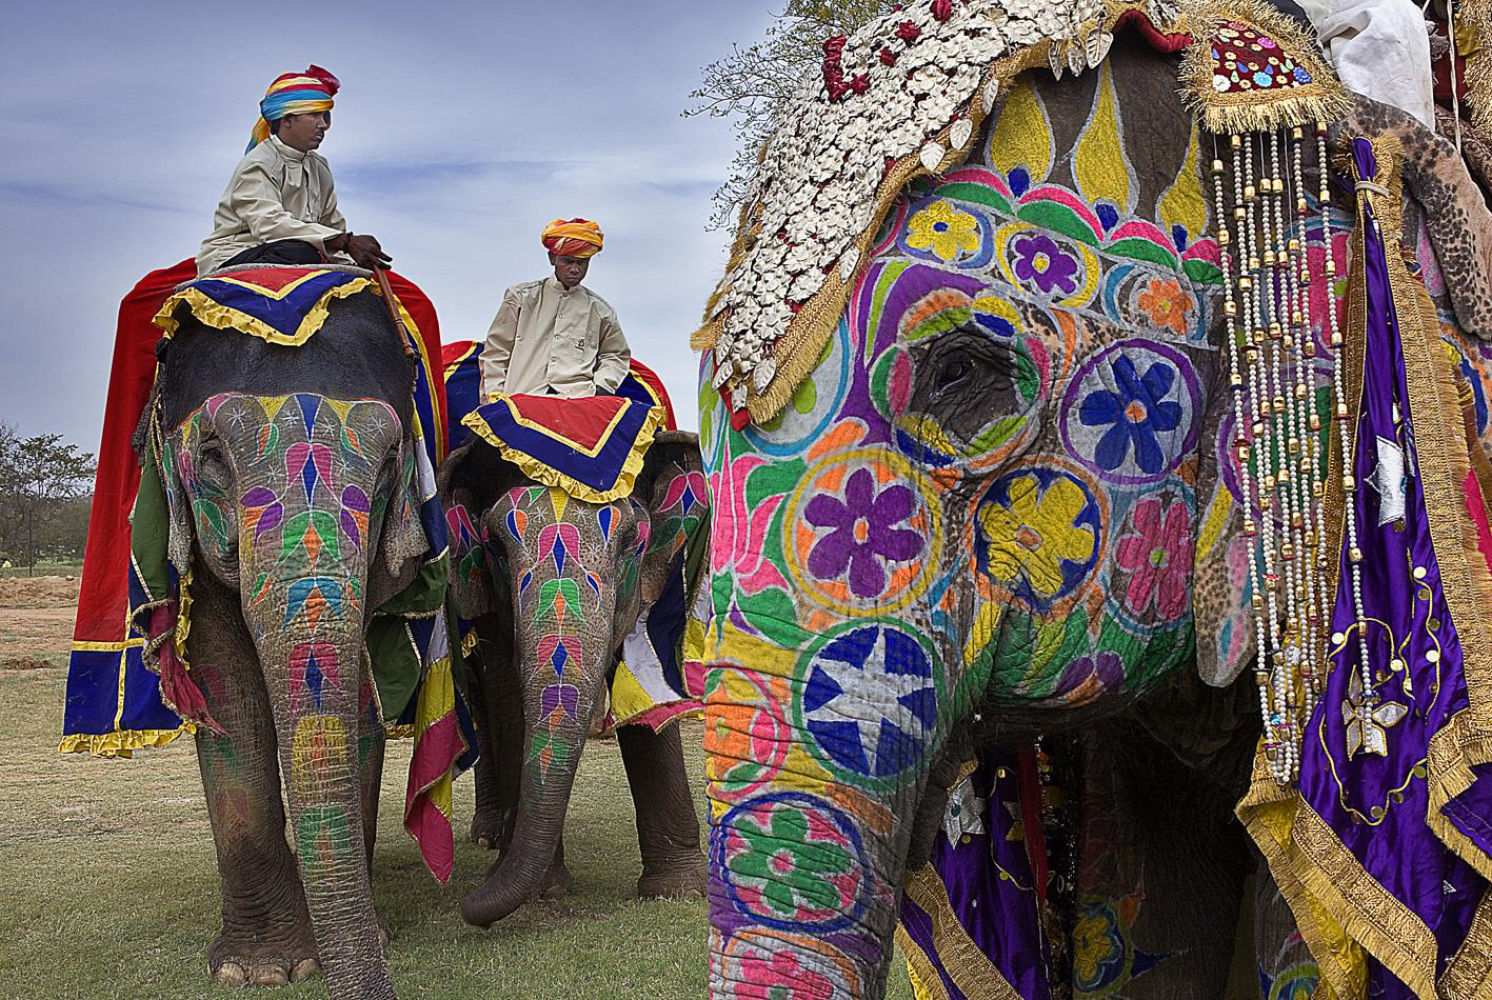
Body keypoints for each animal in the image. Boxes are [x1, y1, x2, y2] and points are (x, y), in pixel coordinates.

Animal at [147, 276, 442, 999]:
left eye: (390, 465)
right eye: (213, 457)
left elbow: (352, 695)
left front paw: (362, 940)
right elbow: (223, 685)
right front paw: (260, 969)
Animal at [437, 423, 711, 926]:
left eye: (630, 540)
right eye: (495, 546)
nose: (467, 907)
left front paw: (678, 892)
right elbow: (508, 694)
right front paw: (543, 891)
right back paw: (490, 841)